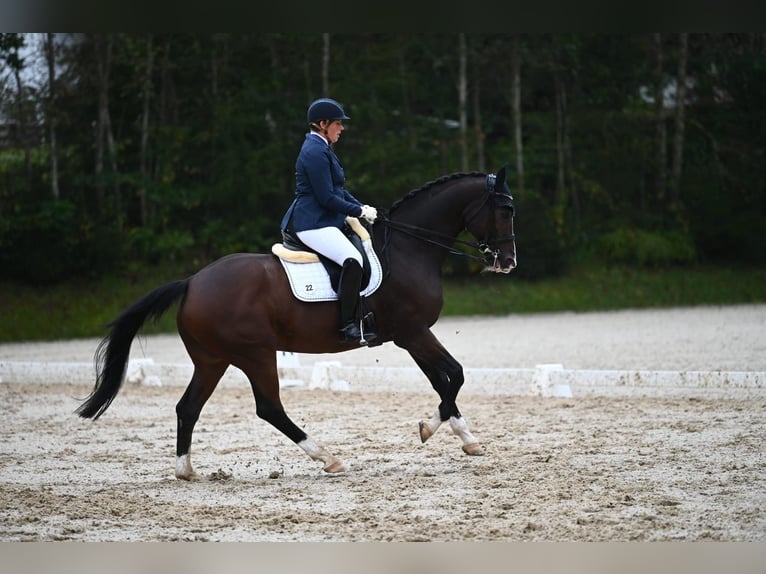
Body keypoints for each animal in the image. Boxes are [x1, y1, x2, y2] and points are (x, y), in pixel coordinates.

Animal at [75, 166, 520, 482]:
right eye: (504, 210)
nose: (508, 262)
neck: (410, 249)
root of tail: (192, 282)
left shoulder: (408, 337)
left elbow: (444, 380)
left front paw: (466, 439)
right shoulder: (413, 332)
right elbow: (455, 376)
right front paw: (430, 428)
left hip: (212, 359)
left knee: (188, 407)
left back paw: (186, 471)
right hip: (255, 353)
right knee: (270, 407)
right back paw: (329, 458)